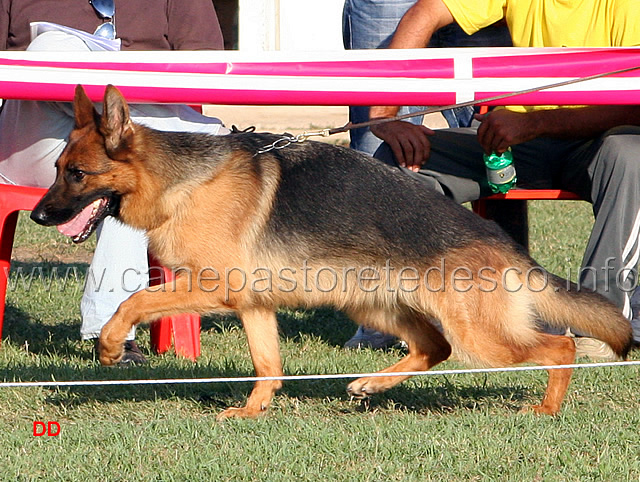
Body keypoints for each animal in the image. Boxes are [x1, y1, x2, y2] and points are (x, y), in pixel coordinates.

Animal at [31, 85, 632, 418]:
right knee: (434, 348)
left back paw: (547, 407)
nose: (38, 216)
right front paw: (253, 413)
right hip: (375, 306)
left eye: (77, 174)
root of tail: (502, 244)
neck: (183, 182)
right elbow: (268, 366)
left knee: (559, 347)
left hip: (480, 337)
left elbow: (133, 302)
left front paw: (110, 346)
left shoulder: (210, 289)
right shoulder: (253, 305)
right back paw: (371, 383)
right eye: (57, 168)